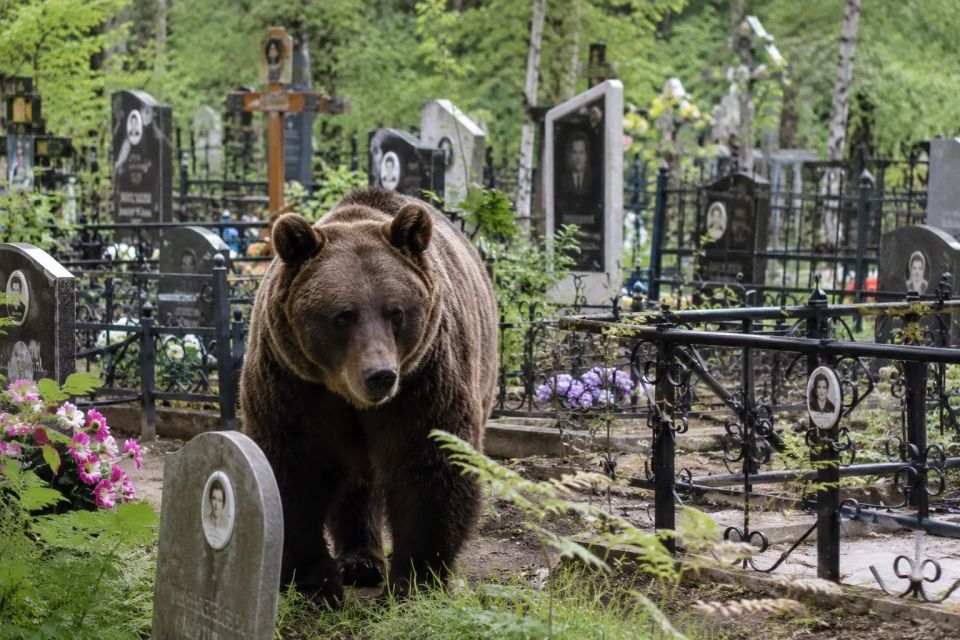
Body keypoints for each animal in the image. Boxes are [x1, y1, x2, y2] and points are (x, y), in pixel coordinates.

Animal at [240, 187, 498, 605]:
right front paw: (316, 583)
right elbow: (294, 471)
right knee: (356, 485)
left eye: (396, 312)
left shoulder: (423, 383)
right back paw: (359, 561)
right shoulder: (293, 386)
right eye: (343, 315)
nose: (380, 375)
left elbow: (431, 469)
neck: (348, 396)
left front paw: (414, 582)